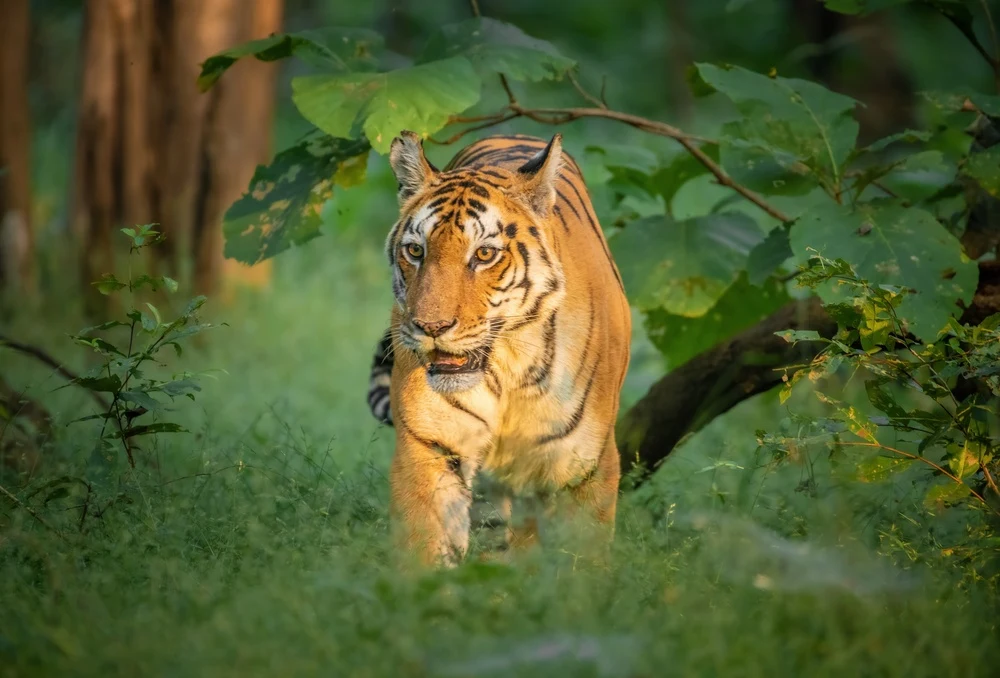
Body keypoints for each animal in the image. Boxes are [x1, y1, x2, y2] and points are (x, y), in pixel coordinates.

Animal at [367, 131, 631, 566]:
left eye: (485, 254)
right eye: (416, 251)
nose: (430, 327)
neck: (507, 366)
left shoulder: (586, 466)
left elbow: (584, 562)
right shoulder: (429, 449)